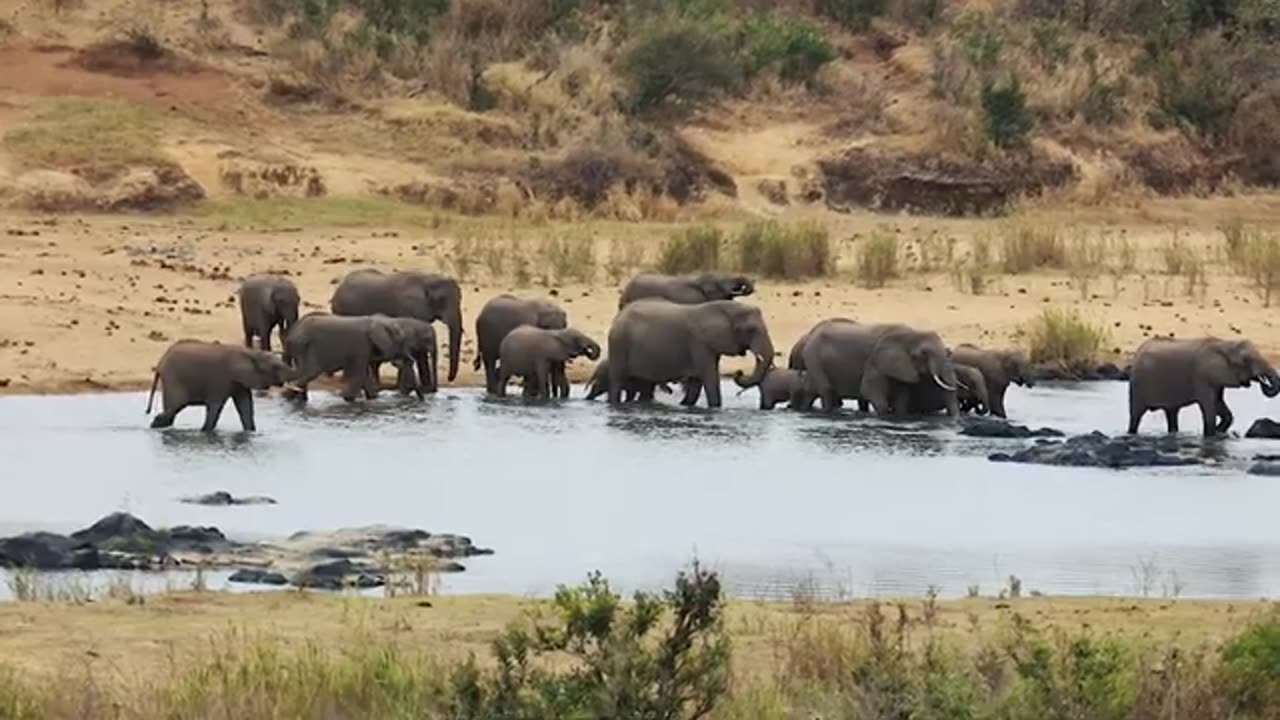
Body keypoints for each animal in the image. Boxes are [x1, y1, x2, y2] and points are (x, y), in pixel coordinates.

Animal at [145, 338, 293, 430]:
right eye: (275, 367)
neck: (251, 353)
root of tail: (160, 363)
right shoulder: (222, 379)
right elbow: (215, 407)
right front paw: (205, 432)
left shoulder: (239, 381)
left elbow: (245, 407)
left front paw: (251, 432)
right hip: (173, 378)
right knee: (173, 409)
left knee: (171, 413)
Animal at [284, 311, 414, 399]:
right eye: (401, 340)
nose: (401, 361)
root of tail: (292, 332)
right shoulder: (362, 346)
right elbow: (359, 375)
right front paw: (346, 398)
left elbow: (365, 375)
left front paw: (373, 398)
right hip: (307, 346)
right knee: (311, 372)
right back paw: (287, 395)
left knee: (304, 373)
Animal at [604, 298, 773, 409]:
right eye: (751, 330)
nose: (739, 372)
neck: (725, 309)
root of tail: (617, 317)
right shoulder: (700, 343)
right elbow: (709, 378)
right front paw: (715, 409)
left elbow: (696, 383)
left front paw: (685, 406)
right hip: (619, 343)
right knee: (617, 381)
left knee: (645, 386)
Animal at [798, 320, 962, 415]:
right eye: (924, 353)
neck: (912, 333)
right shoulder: (876, 361)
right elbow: (868, 390)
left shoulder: (903, 368)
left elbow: (901, 399)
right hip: (813, 357)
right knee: (826, 390)